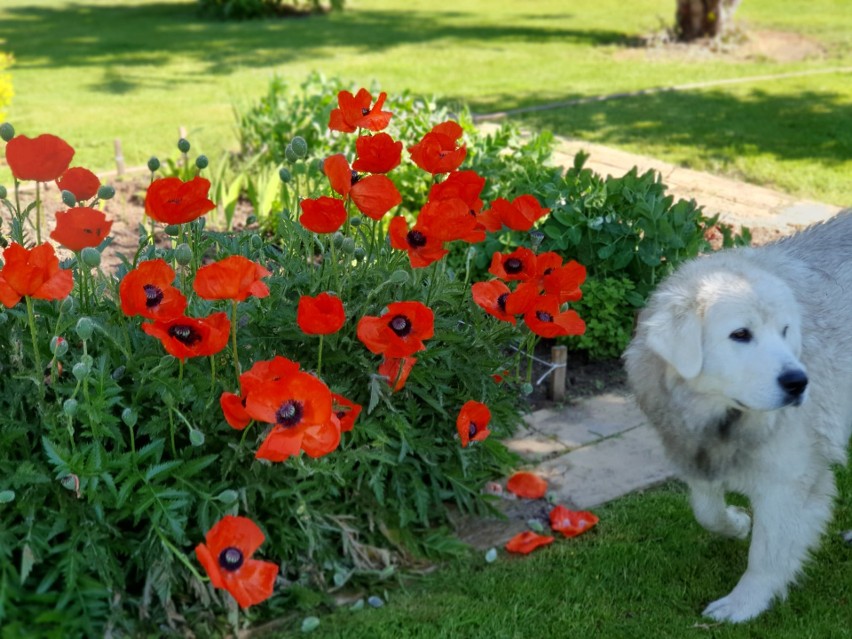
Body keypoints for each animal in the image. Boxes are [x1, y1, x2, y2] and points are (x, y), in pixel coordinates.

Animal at [624, 212, 852, 624]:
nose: (798, 382)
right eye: (740, 334)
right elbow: (706, 511)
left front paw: (744, 604)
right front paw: (736, 522)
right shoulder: (696, 449)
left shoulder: (789, 479)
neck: (724, 416)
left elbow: (767, 552)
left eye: (785, 331)